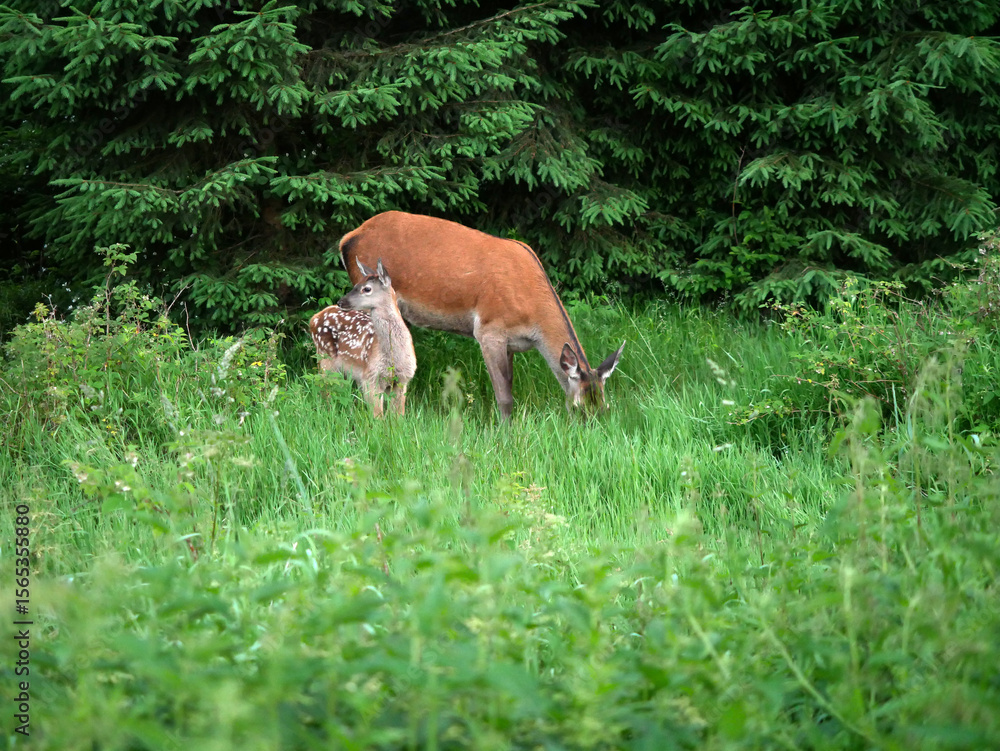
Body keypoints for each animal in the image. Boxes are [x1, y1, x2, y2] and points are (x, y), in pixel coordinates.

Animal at [309, 258, 416, 417]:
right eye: (355, 285)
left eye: (366, 289)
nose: (341, 302)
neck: (393, 356)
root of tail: (314, 318)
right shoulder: (370, 376)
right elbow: (378, 417)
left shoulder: (403, 379)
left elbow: (398, 417)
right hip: (325, 359)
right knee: (326, 391)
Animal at [339, 211, 624, 420]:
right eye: (578, 407)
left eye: (605, 407)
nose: (589, 431)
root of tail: (347, 239)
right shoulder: (489, 329)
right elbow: (504, 396)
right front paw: (505, 433)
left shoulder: (511, 342)